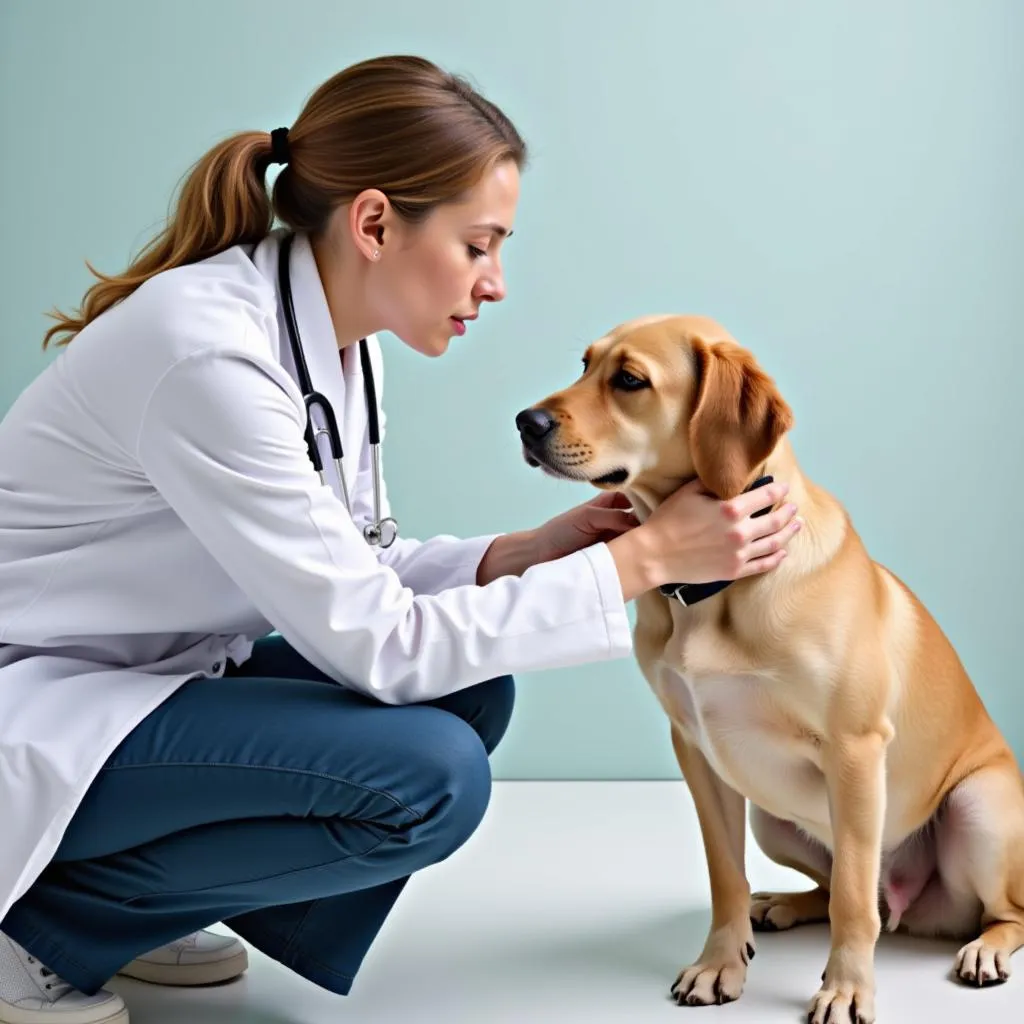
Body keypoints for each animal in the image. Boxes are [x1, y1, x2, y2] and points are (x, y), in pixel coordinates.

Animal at [516, 315, 1024, 1019]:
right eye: (584, 365)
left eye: (629, 380)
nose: (525, 421)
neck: (713, 589)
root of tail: (919, 913)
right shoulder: (697, 752)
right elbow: (726, 877)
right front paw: (719, 963)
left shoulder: (855, 750)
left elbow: (852, 903)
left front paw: (846, 987)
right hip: (770, 816)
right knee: (839, 888)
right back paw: (783, 903)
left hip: (979, 806)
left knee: (984, 911)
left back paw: (983, 949)